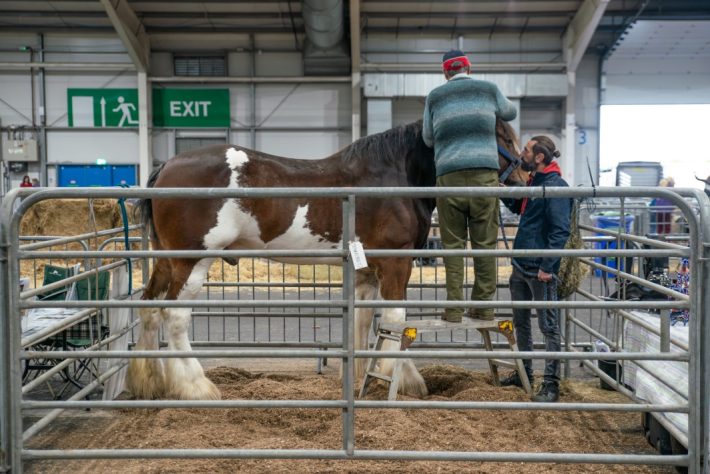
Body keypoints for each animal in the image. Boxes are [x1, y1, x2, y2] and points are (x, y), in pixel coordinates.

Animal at [129, 118, 528, 400]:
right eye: (505, 139)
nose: (525, 183)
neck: (394, 175)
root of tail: (165, 167)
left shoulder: (367, 272)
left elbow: (365, 323)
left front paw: (362, 377)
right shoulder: (396, 263)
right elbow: (396, 321)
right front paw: (406, 379)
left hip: (165, 260)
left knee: (148, 308)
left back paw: (148, 384)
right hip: (192, 261)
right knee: (174, 317)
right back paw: (196, 387)